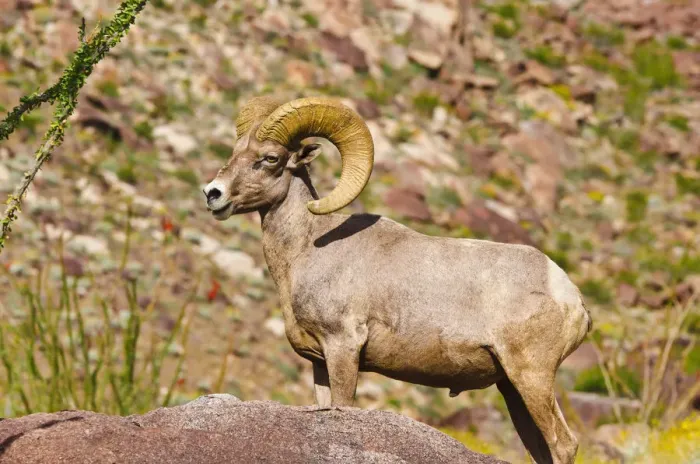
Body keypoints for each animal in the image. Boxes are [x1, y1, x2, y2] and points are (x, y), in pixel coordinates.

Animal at [203, 96, 592, 464]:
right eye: (235, 151)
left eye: (270, 158)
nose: (213, 193)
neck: (306, 248)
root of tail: (572, 299)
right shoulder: (319, 362)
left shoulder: (343, 348)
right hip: (512, 388)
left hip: (531, 377)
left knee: (563, 444)